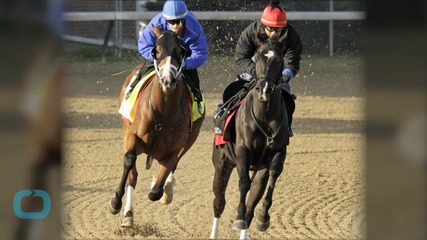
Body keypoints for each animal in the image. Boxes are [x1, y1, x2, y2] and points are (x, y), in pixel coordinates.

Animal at [108, 27, 206, 228]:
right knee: (132, 174)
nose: (168, 81)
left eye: (181, 51)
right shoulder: (133, 136)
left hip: (191, 138)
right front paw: (115, 202)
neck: (162, 114)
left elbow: (156, 190)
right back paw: (128, 215)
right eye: (157, 50)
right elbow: (129, 161)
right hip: (125, 129)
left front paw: (162, 189)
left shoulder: (174, 150)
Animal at [210, 36, 290, 240]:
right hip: (222, 164)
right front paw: (238, 217)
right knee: (219, 201)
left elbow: (273, 175)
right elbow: (244, 183)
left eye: (279, 60)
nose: (265, 90)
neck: (265, 115)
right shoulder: (242, 152)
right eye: (259, 57)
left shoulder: (278, 152)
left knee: (252, 204)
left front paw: (263, 217)